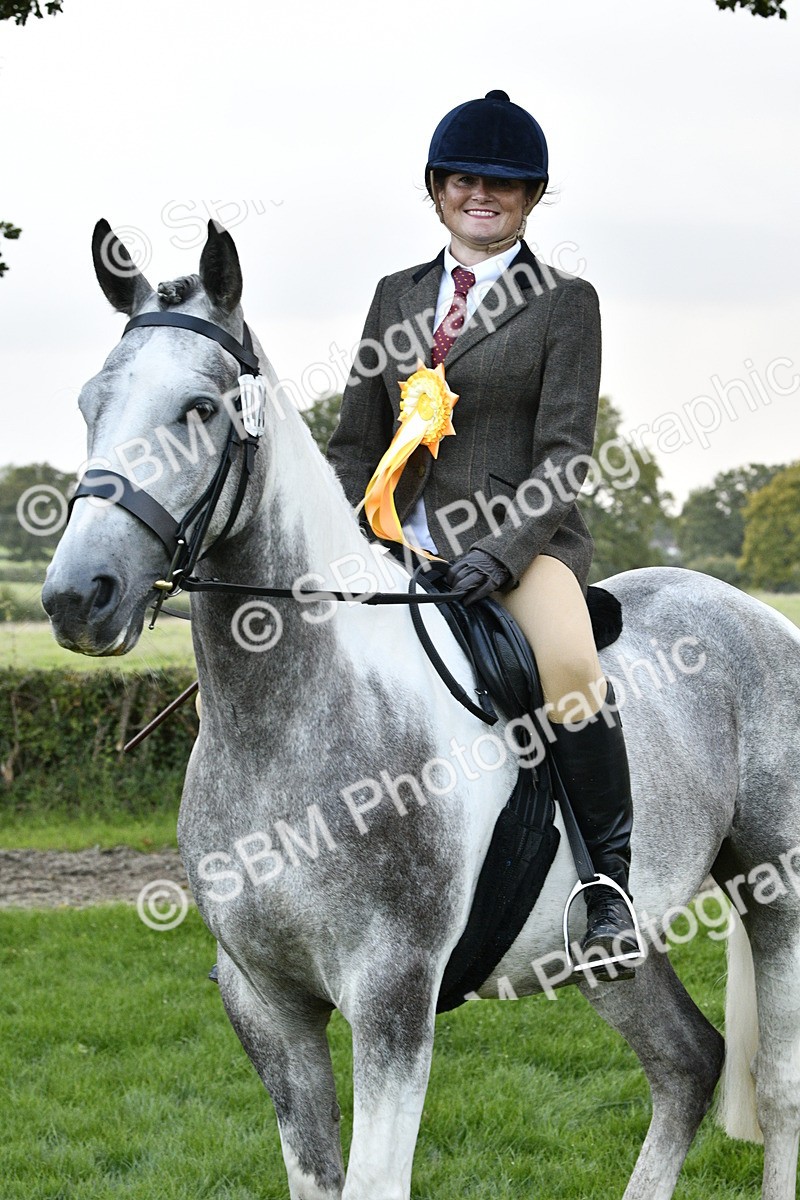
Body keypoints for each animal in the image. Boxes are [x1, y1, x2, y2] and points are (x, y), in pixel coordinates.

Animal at [42, 218, 800, 1200]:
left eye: (200, 409)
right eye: (91, 402)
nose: (76, 597)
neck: (289, 725)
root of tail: (755, 615)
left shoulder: (392, 999)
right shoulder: (266, 1002)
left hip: (776, 890)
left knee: (775, 1084)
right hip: (606, 944)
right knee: (688, 1062)